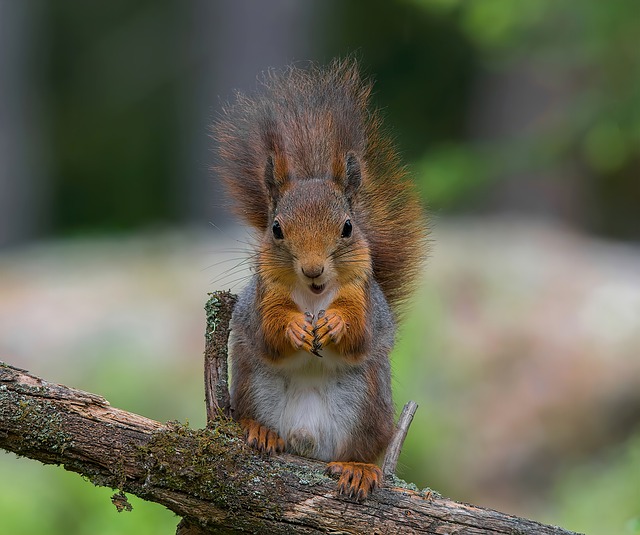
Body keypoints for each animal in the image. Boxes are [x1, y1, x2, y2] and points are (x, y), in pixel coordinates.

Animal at [212, 58, 428, 498]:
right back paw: (260, 431)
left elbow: (359, 329)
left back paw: (358, 468)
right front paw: (295, 328)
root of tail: (306, 441)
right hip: (253, 385)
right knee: (252, 414)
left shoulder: (363, 294)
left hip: (366, 403)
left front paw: (335, 324)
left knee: (360, 447)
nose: (313, 269)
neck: (313, 296)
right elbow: (270, 330)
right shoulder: (264, 296)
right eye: (276, 229)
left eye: (347, 227)